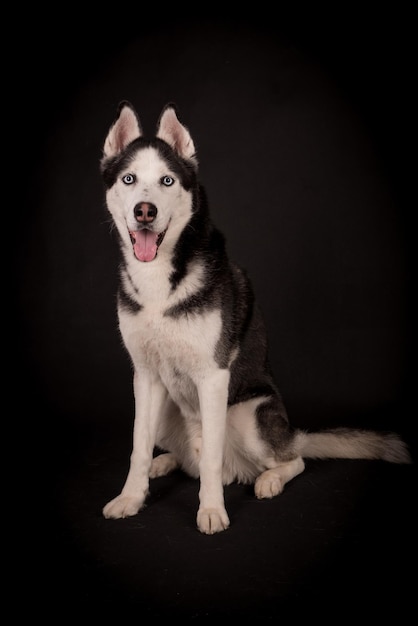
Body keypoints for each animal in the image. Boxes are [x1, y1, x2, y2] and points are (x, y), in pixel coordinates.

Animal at [100, 101, 408, 532]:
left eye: (166, 181)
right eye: (129, 179)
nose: (145, 211)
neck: (161, 281)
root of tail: (292, 432)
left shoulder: (213, 377)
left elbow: (212, 461)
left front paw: (212, 511)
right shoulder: (144, 377)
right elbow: (137, 448)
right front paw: (131, 497)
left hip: (249, 416)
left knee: (292, 459)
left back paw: (270, 480)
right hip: (166, 410)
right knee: (187, 459)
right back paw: (167, 462)